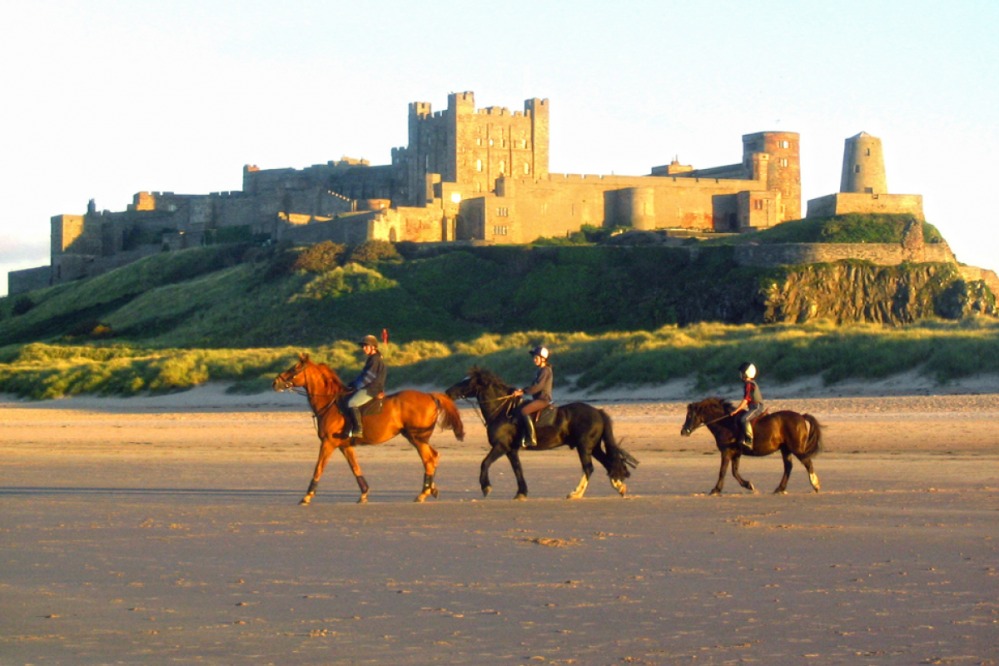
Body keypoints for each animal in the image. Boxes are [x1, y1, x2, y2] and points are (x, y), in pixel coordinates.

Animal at [272, 353, 465, 505]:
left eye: (294, 368)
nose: (275, 382)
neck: (330, 403)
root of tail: (430, 396)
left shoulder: (328, 443)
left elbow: (318, 467)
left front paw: (307, 496)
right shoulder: (345, 446)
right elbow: (355, 468)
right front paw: (364, 493)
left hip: (416, 438)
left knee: (429, 459)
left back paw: (423, 493)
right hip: (418, 438)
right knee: (433, 457)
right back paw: (431, 489)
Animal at [445, 367, 637, 500]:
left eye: (467, 382)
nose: (448, 392)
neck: (502, 411)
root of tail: (598, 412)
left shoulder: (501, 446)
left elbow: (484, 463)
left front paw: (486, 487)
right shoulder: (511, 450)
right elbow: (518, 470)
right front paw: (521, 493)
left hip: (584, 447)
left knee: (589, 468)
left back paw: (575, 493)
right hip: (594, 447)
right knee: (609, 464)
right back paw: (619, 487)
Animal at [680, 397, 822, 495]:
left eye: (690, 415)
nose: (683, 431)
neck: (725, 423)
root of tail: (801, 416)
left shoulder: (726, 451)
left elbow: (723, 471)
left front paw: (716, 489)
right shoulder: (736, 453)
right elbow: (734, 472)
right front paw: (749, 485)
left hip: (796, 448)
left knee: (807, 463)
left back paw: (815, 485)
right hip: (785, 449)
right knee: (788, 467)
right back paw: (779, 488)